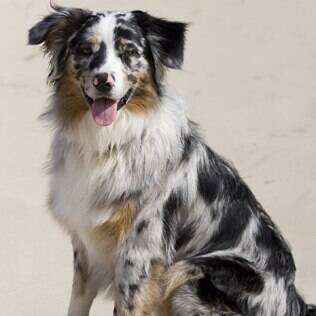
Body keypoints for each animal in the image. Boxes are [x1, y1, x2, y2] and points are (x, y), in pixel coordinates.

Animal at [28, 4, 314, 316]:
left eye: (129, 52)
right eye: (85, 50)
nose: (103, 80)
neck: (108, 144)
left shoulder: (138, 254)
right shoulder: (86, 248)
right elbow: (76, 304)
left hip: (192, 274)